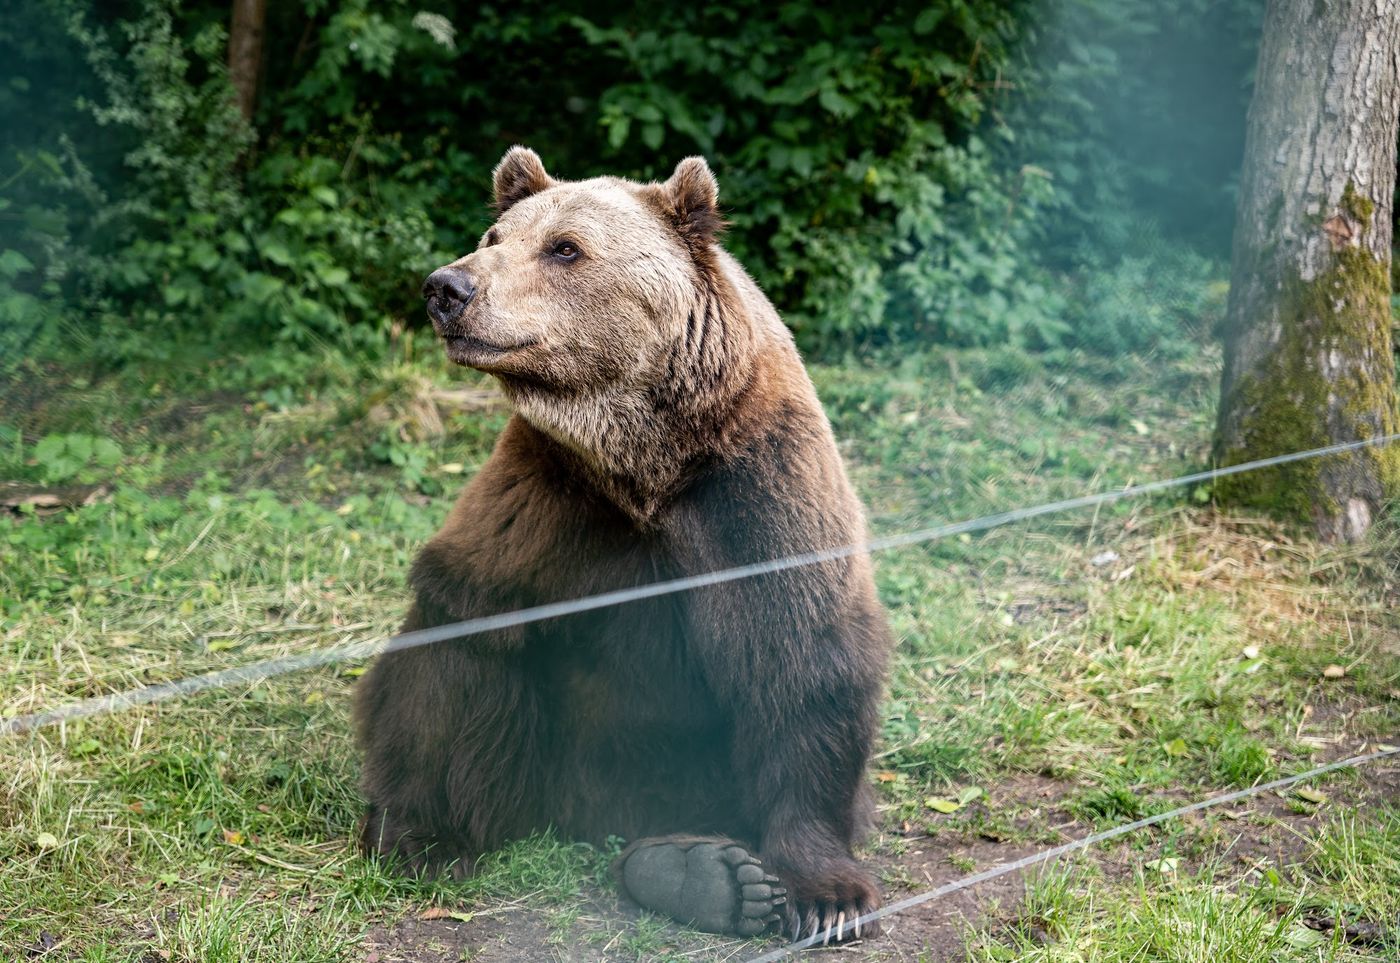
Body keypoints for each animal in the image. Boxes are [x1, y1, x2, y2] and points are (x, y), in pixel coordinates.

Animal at [355, 146, 890, 946]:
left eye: (564, 247)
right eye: (493, 235)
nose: (446, 288)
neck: (644, 464)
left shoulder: (759, 497)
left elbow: (802, 657)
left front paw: (827, 896)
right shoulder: (542, 507)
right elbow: (459, 643)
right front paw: (420, 833)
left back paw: (706, 875)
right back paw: (698, 873)